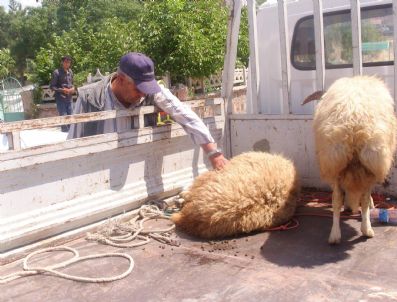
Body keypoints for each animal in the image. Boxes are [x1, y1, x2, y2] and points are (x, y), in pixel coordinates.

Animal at [306, 76, 396, 244]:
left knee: (338, 200)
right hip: (368, 164)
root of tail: (354, 122)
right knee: (359, 199)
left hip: (335, 161)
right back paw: (361, 229)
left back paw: (338, 234)